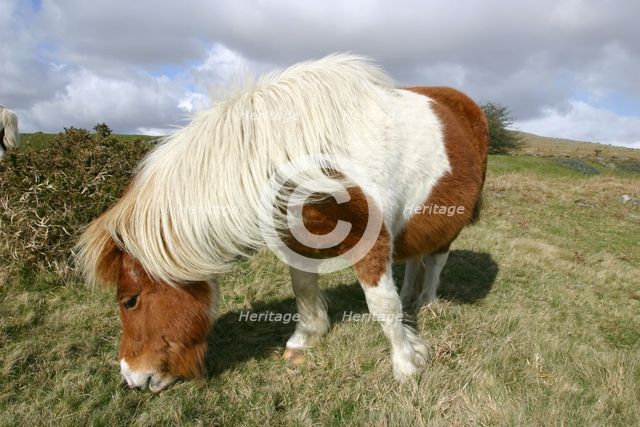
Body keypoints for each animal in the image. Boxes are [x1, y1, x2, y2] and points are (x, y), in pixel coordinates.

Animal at [76, 54, 488, 392]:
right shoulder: (295, 239)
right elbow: (303, 290)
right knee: (416, 259)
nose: (131, 378)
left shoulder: (372, 242)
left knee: (436, 260)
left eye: (129, 300)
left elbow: (382, 305)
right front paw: (305, 339)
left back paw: (428, 303)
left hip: (449, 222)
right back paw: (412, 302)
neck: (309, 154)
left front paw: (406, 363)